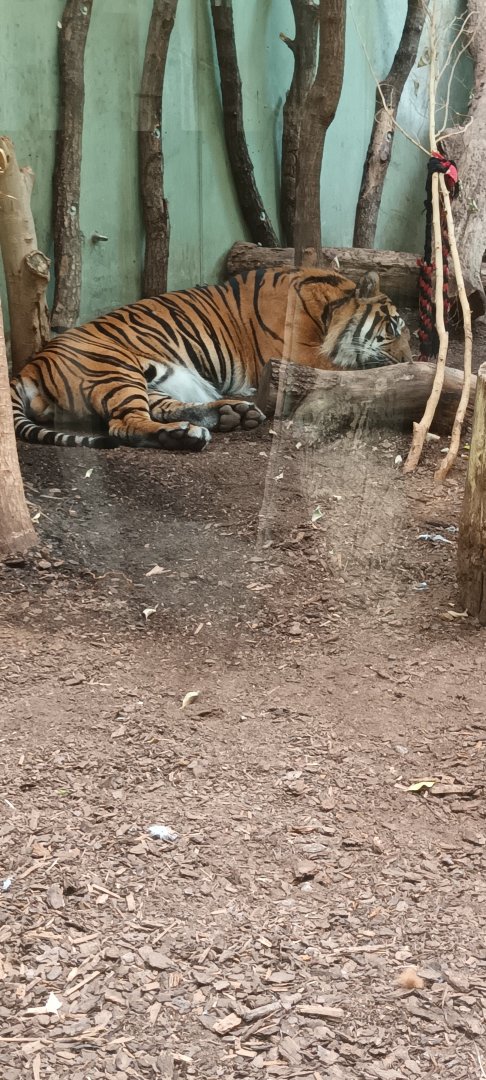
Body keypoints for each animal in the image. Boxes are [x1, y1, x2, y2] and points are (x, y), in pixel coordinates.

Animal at [10, 267, 412, 452]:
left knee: (165, 408)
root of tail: (31, 364)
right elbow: (348, 370)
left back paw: (230, 415)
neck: (327, 310)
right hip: (114, 370)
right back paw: (189, 434)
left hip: (155, 378)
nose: (411, 358)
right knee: (124, 425)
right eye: (393, 327)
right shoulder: (300, 354)